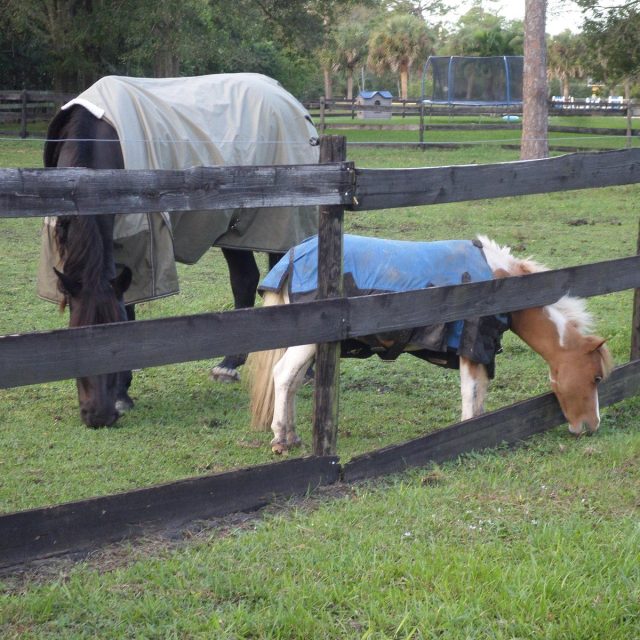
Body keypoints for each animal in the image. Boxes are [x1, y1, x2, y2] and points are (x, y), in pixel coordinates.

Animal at [38, 73, 319, 428]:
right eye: (75, 333)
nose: (98, 416)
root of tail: (288, 99)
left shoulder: (142, 244)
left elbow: (129, 308)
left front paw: (122, 393)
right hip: (234, 225)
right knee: (244, 279)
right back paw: (229, 364)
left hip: (281, 220)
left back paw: (303, 370)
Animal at [247, 234, 614, 454]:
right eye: (595, 377)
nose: (591, 427)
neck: (498, 281)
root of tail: (293, 256)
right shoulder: (471, 349)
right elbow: (471, 396)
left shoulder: (481, 352)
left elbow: (479, 396)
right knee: (284, 376)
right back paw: (280, 439)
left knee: (293, 381)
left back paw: (291, 435)